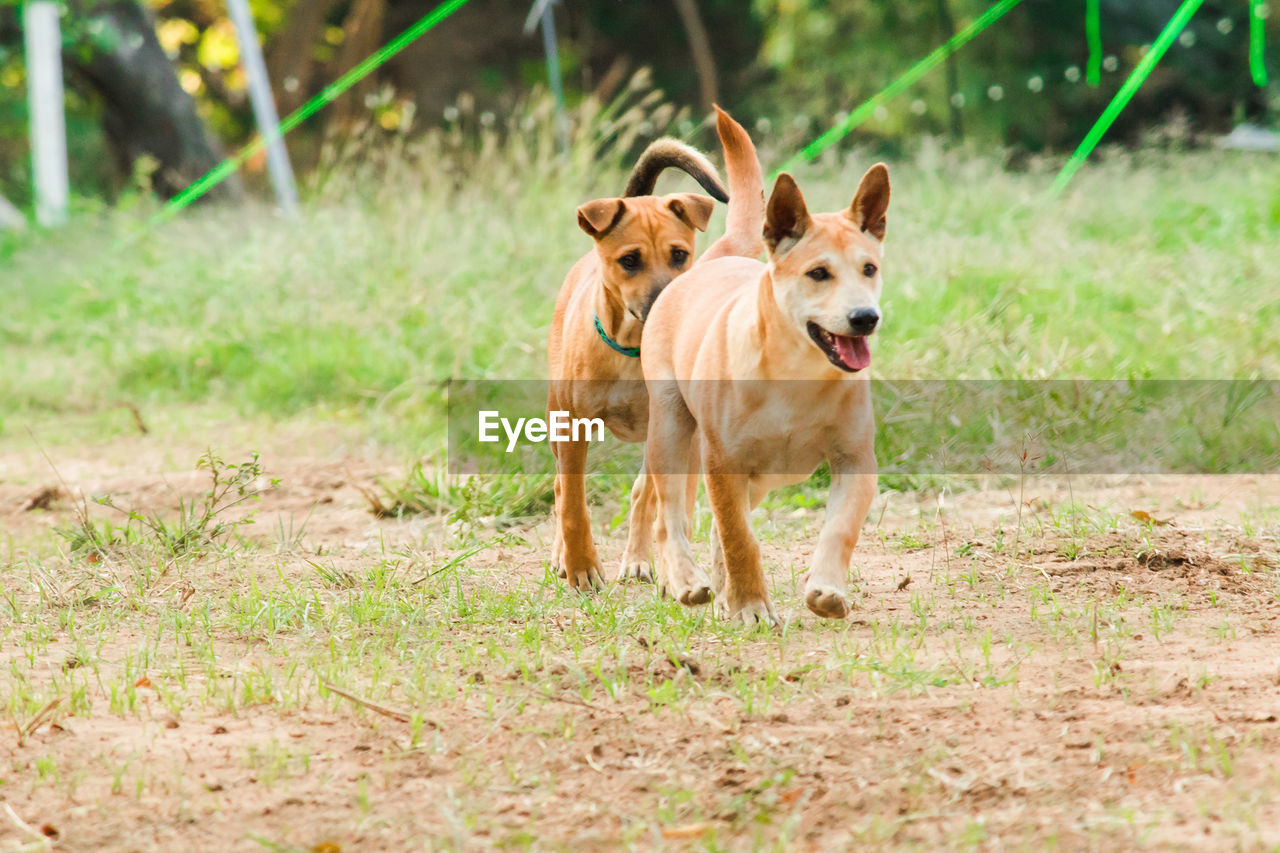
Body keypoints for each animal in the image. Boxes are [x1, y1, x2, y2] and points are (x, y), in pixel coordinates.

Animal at [547, 114, 762, 591]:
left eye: (679, 254)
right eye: (630, 260)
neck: (632, 349)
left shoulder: (672, 432)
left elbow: (658, 501)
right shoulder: (572, 427)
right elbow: (573, 503)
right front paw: (581, 565)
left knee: (653, 496)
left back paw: (643, 560)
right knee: (559, 488)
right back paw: (562, 555)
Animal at [640, 149, 890, 622]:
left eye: (869, 269)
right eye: (818, 273)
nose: (866, 317)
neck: (797, 373)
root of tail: (713, 260)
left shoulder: (855, 459)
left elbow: (841, 529)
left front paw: (826, 588)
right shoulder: (722, 462)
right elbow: (739, 537)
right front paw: (752, 606)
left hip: (763, 477)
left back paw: (722, 592)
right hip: (669, 428)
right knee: (669, 518)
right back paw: (688, 581)